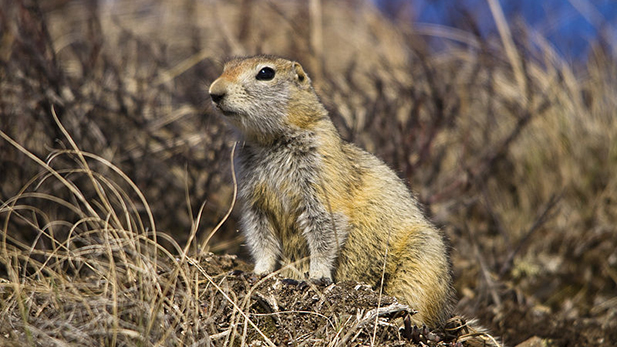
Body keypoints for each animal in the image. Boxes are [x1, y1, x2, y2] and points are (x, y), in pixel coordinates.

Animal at [209, 54, 454, 328]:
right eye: (226, 67)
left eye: (265, 73)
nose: (214, 92)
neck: (268, 142)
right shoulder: (254, 199)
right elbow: (260, 234)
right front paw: (258, 271)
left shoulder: (320, 176)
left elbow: (325, 224)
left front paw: (316, 276)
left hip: (421, 259)